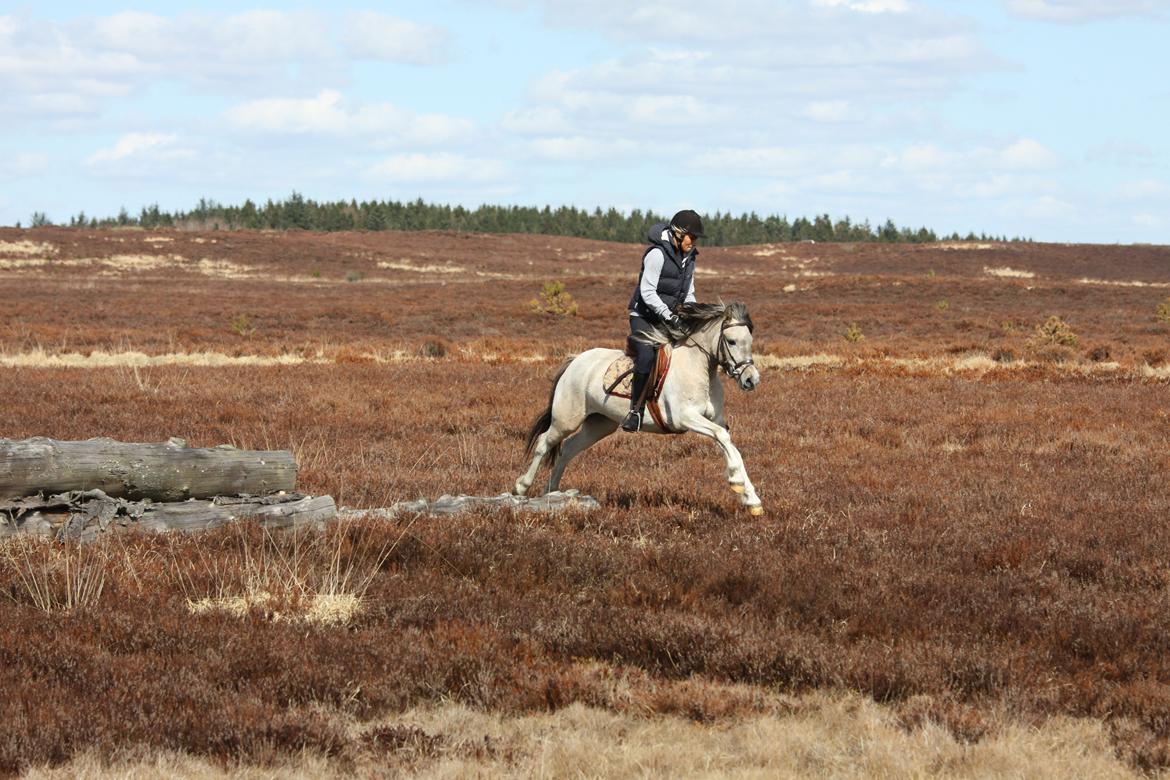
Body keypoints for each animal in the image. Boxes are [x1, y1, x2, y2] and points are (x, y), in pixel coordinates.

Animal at [514, 299, 767, 512]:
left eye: (750, 341)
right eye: (731, 341)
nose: (751, 380)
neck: (701, 370)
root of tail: (575, 360)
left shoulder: (716, 420)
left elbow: (730, 445)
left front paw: (751, 498)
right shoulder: (685, 417)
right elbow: (723, 439)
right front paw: (737, 482)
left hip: (599, 425)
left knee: (568, 448)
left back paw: (552, 491)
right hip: (566, 419)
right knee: (544, 443)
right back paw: (521, 487)